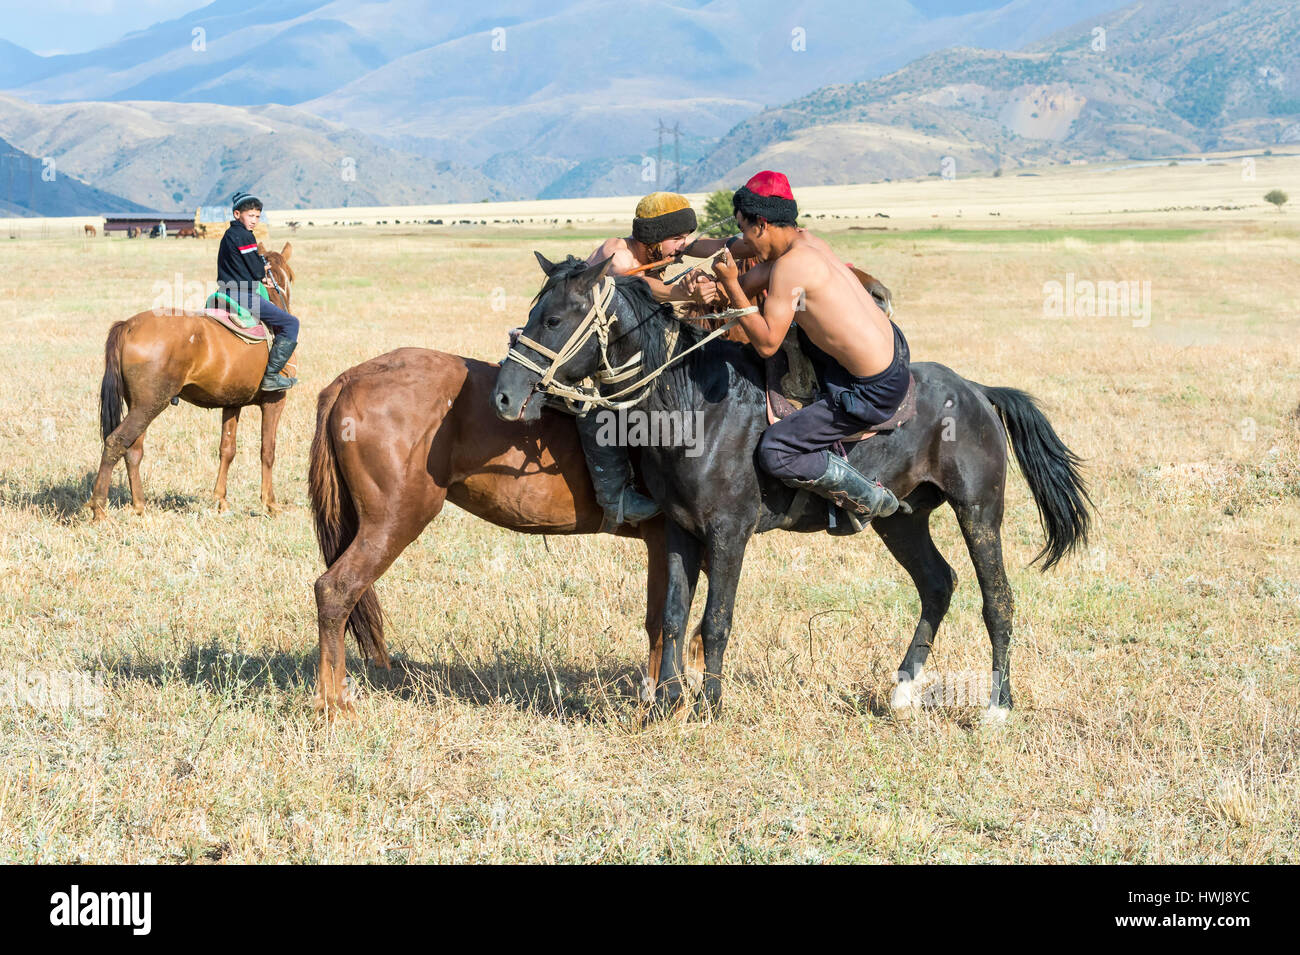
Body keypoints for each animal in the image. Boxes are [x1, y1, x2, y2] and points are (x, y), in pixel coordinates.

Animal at [90, 239, 297, 522]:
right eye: (290, 276)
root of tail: (129, 325)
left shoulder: (232, 403)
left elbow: (227, 449)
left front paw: (221, 501)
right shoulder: (274, 402)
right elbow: (268, 450)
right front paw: (270, 503)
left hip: (140, 406)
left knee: (133, 450)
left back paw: (140, 505)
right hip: (149, 405)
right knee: (115, 442)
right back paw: (99, 508)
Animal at [308, 348, 686, 717]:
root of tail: (351, 379)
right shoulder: (668, 541)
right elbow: (666, 622)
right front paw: (666, 702)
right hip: (394, 521)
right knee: (335, 590)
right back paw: (335, 704)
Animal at [491, 257, 1092, 722]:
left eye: (554, 318)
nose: (504, 395)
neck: (692, 409)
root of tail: (975, 391)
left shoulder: (729, 533)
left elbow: (715, 620)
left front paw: (710, 705)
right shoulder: (681, 530)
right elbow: (674, 615)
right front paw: (665, 704)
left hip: (978, 510)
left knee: (998, 600)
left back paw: (997, 706)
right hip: (902, 518)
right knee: (937, 584)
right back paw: (902, 691)